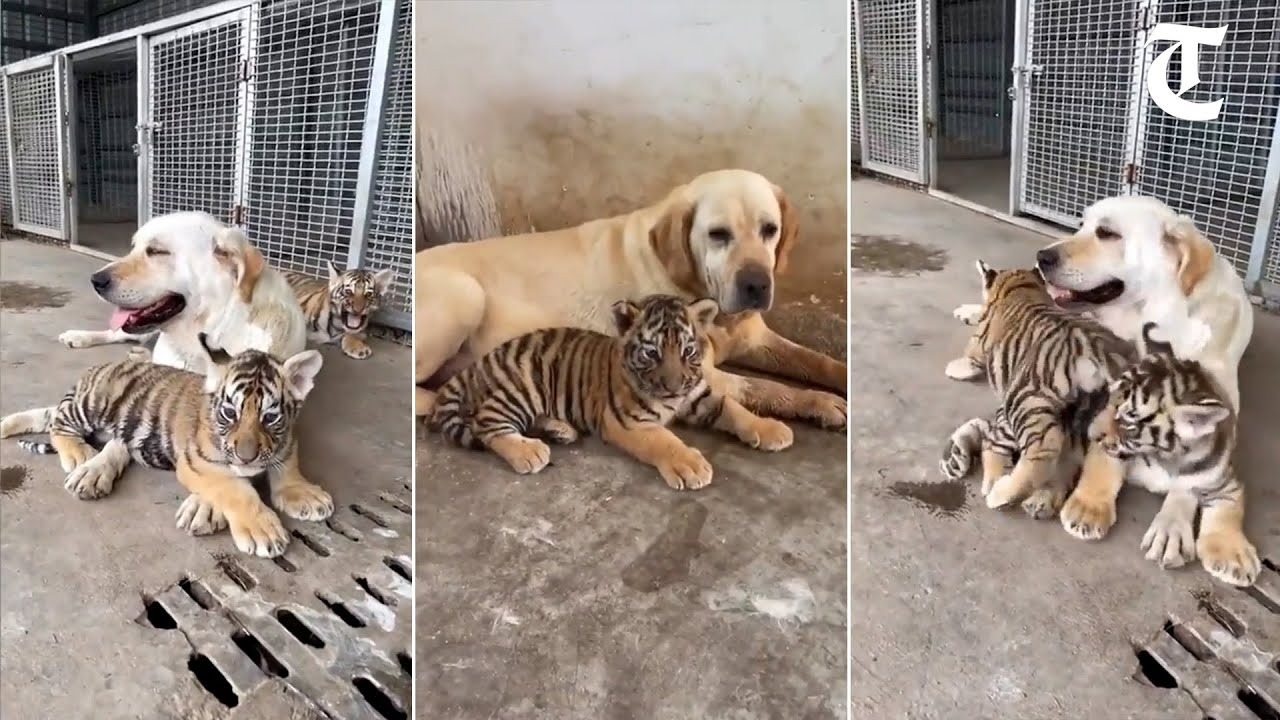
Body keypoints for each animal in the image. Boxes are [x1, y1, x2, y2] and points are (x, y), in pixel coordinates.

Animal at [414, 167, 844, 430]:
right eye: (718, 234)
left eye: (770, 229)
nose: (756, 284)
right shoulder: (698, 371)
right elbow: (768, 388)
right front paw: (820, 403)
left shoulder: (757, 339)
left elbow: (817, 360)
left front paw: (838, 377)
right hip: (466, 295)